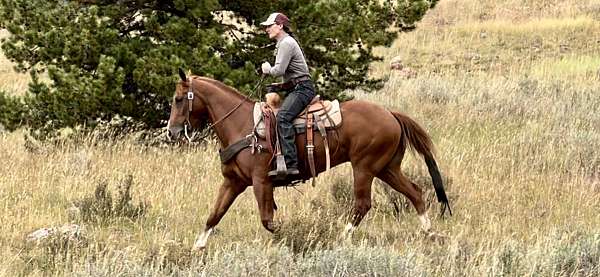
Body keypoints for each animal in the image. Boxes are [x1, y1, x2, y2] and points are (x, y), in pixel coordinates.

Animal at [168, 68, 450, 248]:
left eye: (179, 99)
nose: (172, 132)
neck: (243, 124)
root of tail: (391, 114)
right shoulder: (233, 181)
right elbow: (214, 214)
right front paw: (198, 246)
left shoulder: (261, 182)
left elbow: (268, 221)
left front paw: (295, 236)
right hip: (386, 168)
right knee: (415, 192)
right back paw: (430, 233)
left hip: (364, 168)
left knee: (362, 204)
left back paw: (342, 237)